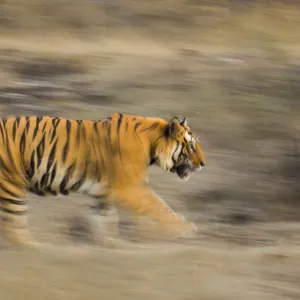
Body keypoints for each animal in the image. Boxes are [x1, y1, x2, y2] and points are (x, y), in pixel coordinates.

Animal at [0, 112, 205, 248]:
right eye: (192, 146)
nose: (204, 163)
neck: (152, 144)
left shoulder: (105, 190)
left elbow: (104, 218)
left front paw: (110, 243)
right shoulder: (130, 188)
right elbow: (160, 207)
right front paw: (185, 227)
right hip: (12, 185)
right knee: (13, 226)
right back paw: (35, 248)